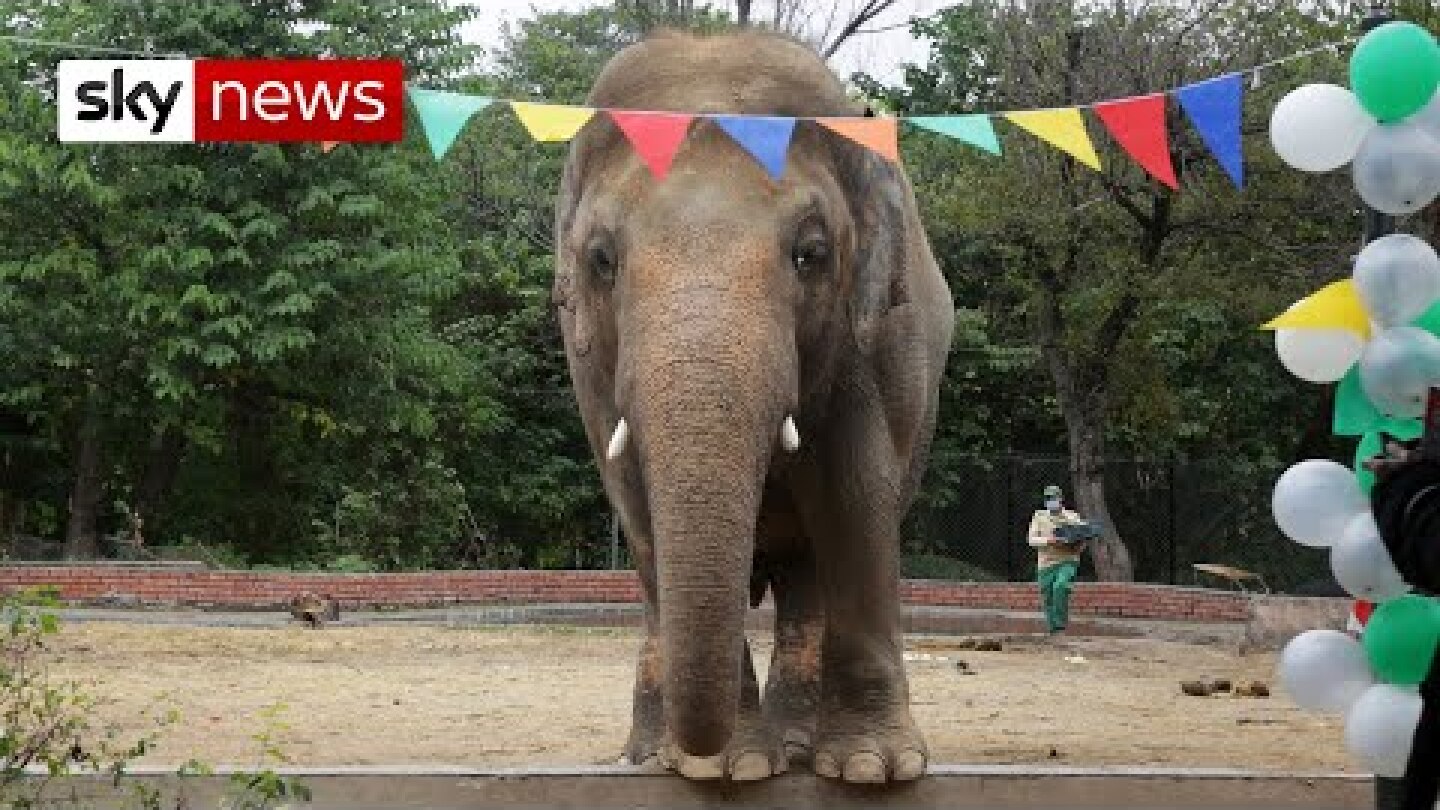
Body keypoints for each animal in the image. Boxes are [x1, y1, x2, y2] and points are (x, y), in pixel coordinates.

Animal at [552, 30, 955, 783]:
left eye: (811, 253)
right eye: (600, 260)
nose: (702, 751)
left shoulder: (869, 335)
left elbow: (854, 492)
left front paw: (872, 769)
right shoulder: (587, 362)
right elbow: (637, 505)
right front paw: (723, 770)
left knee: (808, 577)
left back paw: (797, 747)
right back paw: (650, 757)